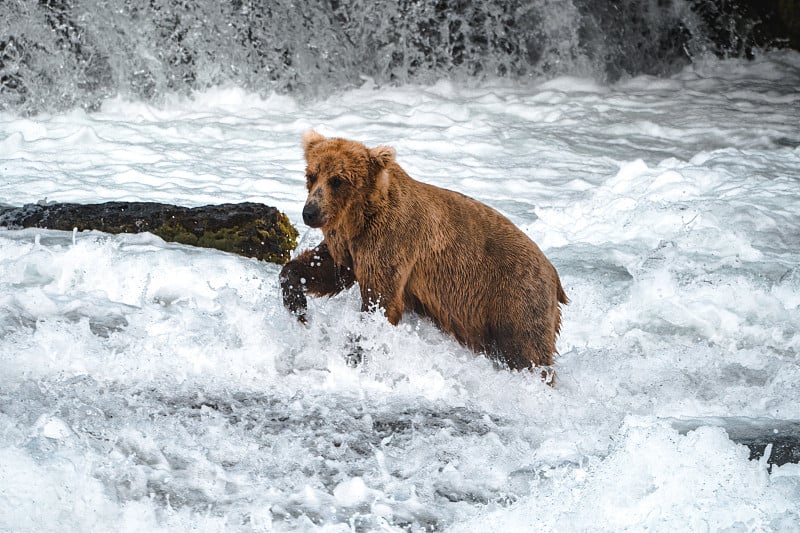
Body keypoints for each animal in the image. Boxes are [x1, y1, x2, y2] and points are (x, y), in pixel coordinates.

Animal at [282, 129, 568, 374]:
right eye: (311, 175)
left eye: (338, 180)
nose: (310, 212)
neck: (359, 217)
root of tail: (554, 274)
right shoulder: (350, 247)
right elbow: (326, 269)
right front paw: (298, 305)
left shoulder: (392, 239)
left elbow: (380, 300)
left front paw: (357, 351)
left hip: (514, 296)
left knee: (527, 352)